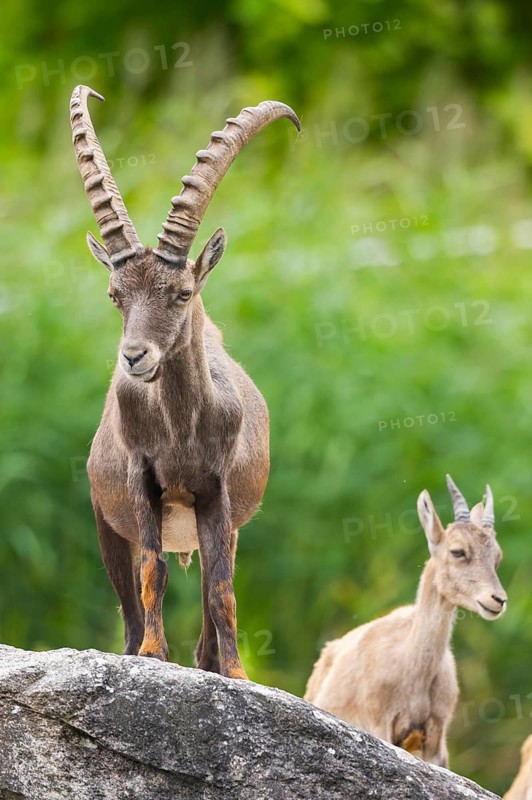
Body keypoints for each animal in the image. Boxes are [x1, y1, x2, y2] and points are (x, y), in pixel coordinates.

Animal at [70, 85, 299, 678]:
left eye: (181, 293)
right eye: (116, 295)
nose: (134, 357)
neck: (179, 429)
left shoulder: (216, 492)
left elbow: (222, 591)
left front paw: (239, 674)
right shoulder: (141, 483)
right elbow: (155, 572)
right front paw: (155, 655)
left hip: (219, 526)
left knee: (209, 604)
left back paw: (211, 664)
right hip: (108, 526)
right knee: (130, 609)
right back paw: (144, 650)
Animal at [304, 475, 507, 767]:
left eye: (497, 557)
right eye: (458, 551)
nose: (498, 600)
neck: (412, 669)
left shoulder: (436, 739)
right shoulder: (379, 723)